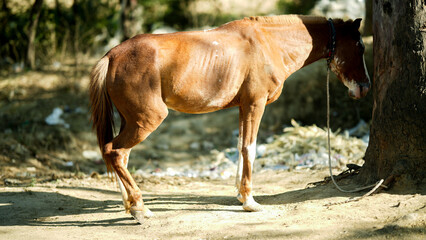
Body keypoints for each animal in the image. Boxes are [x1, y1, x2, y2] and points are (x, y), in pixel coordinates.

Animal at [89, 15, 370, 224]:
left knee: (119, 155)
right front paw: (250, 201)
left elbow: (239, 147)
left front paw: (239, 195)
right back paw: (140, 208)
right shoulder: (255, 104)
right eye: (360, 46)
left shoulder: (243, 107)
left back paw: (129, 205)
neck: (268, 43)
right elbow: (250, 149)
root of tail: (112, 56)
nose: (365, 88)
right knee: (115, 152)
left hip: (131, 121)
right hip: (146, 120)